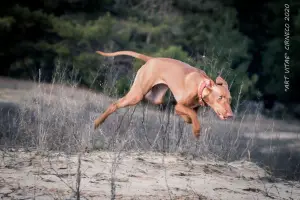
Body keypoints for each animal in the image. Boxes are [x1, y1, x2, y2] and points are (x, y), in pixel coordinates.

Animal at [92, 50, 233, 138]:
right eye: (220, 97)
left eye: (230, 99)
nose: (231, 115)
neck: (200, 85)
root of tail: (152, 59)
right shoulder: (179, 105)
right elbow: (192, 114)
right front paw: (197, 130)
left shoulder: (185, 108)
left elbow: (190, 116)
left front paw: (188, 120)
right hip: (136, 95)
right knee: (114, 105)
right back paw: (97, 122)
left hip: (155, 96)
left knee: (152, 99)